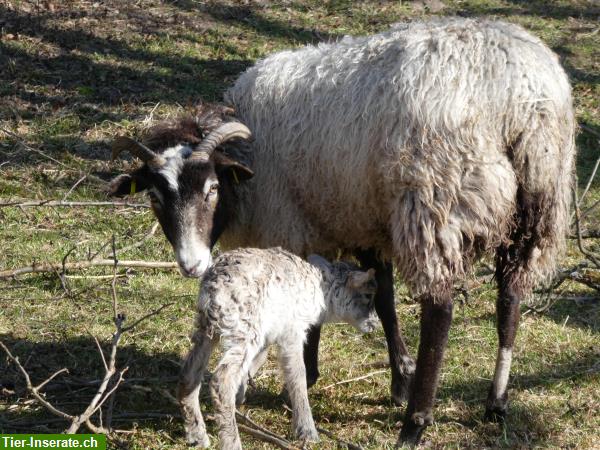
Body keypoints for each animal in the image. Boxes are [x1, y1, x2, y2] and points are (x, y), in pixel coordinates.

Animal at [176, 248, 378, 448]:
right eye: (368, 295)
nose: (375, 324)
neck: (322, 288)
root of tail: (214, 286)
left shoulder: (271, 332)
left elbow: (260, 358)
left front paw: (240, 395)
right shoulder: (292, 331)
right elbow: (298, 374)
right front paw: (307, 431)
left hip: (209, 326)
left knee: (190, 372)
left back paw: (197, 435)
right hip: (244, 326)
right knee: (222, 380)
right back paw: (230, 441)